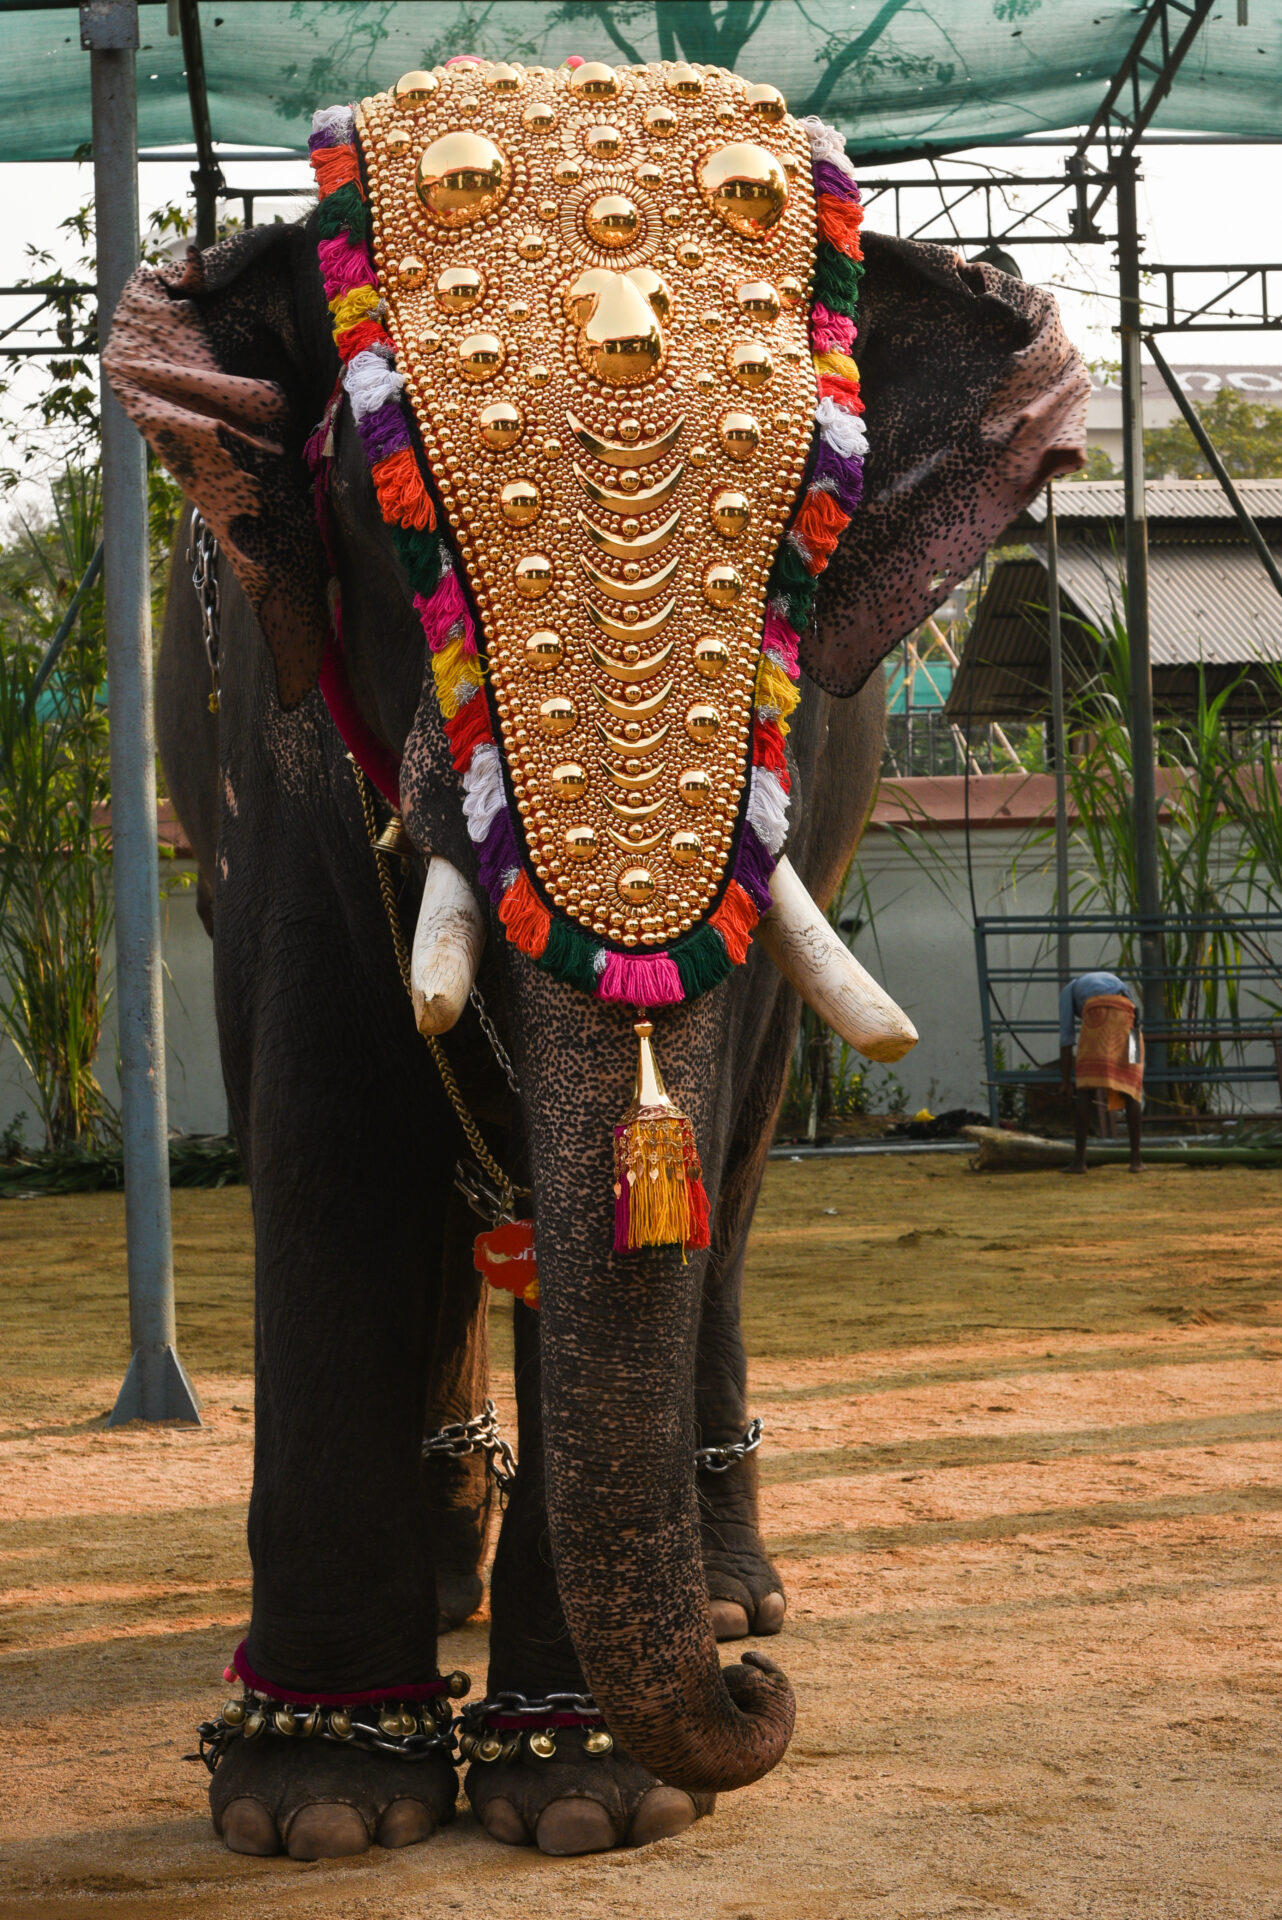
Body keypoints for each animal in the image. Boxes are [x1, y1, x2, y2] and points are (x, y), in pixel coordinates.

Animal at [106, 56, 1086, 1864]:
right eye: (393, 522)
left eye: (806, 552)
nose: (764, 1710)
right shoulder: (272, 725)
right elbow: (330, 1114)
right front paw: (316, 1809)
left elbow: (671, 1155)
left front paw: (586, 1800)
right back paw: (455, 1615)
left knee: (741, 1162)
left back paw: (725, 1600)